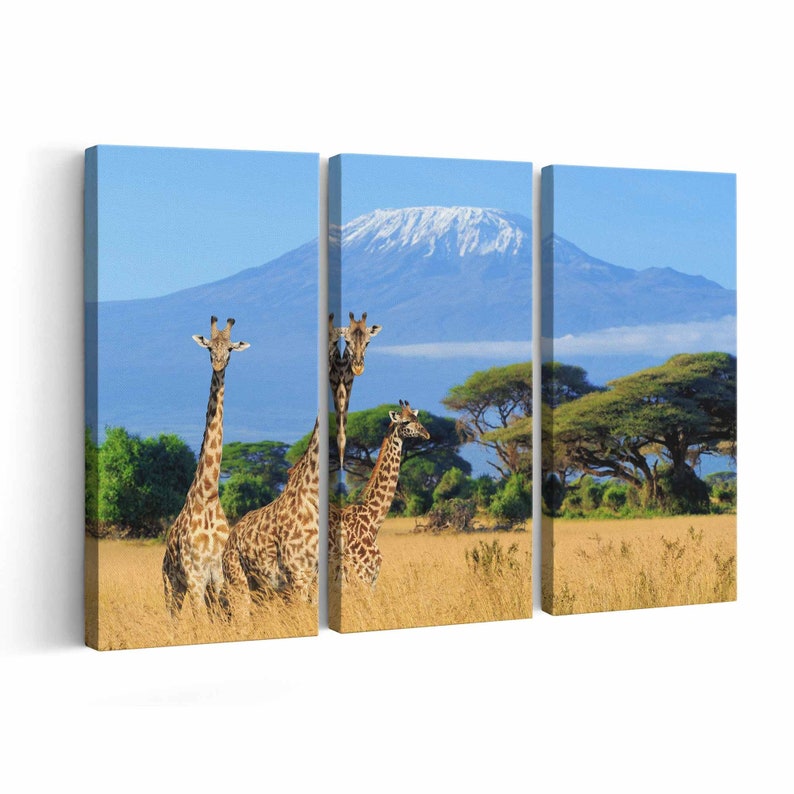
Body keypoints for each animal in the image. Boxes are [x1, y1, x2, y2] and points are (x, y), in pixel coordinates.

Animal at [162, 316, 250, 619]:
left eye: (231, 348)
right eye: (210, 347)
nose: (219, 364)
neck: (209, 494)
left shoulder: (219, 576)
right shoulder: (196, 577)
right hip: (172, 584)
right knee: (173, 618)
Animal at [329, 400, 429, 588]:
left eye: (417, 418)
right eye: (405, 421)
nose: (426, 434)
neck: (372, 522)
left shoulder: (371, 577)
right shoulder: (363, 574)